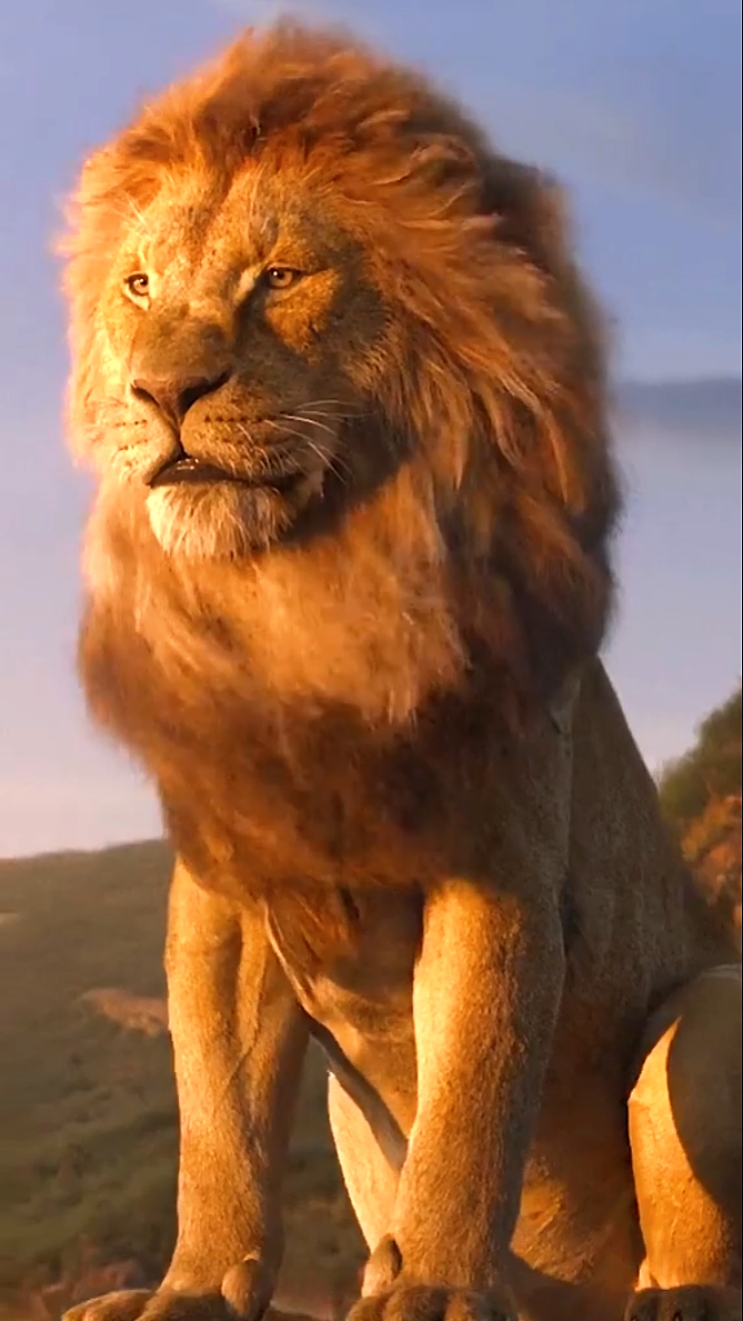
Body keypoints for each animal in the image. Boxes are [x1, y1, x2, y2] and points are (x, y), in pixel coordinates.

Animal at [59, 22, 741, 1321]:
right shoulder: (220, 898)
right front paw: (189, 1287)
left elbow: (470, 1103)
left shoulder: (492, 869)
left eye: (279, 278)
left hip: (705, 1009)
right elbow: (217, 1121)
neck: (301, 600)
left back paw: (661, 1293)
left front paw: (429, 1285)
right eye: (139, 288)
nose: (159, 392)